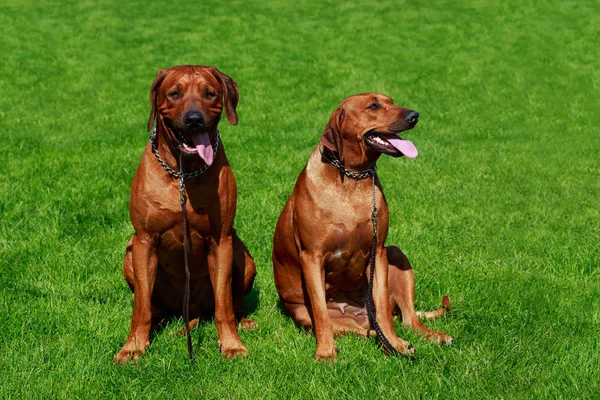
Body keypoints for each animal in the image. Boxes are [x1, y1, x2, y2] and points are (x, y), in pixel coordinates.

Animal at [114, 65, 255, 362]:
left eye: (209, 94)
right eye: (175, 94)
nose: (194, 120)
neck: (183, 172)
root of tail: (192, 310)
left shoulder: (221, 240)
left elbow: (223, 305)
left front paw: (231, 344)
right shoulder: (144, 240)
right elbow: (141, 306)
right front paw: (133, 346)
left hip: (243, 255)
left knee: (232, 304)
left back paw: (243, 322)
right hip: (130, 253)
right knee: (152, 306)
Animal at [272, 94, 450, 362]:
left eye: (391, 101)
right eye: (373, 106)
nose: (414, 115)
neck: (352, 177)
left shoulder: (379, 252)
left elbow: (384, 310)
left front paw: (394, 344)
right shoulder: (312, 257)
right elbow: (321, 314)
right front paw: (325, 352)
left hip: (396, 255)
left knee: (406, 319)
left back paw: (422, 337)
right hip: (304, 314)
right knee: (349, 327)